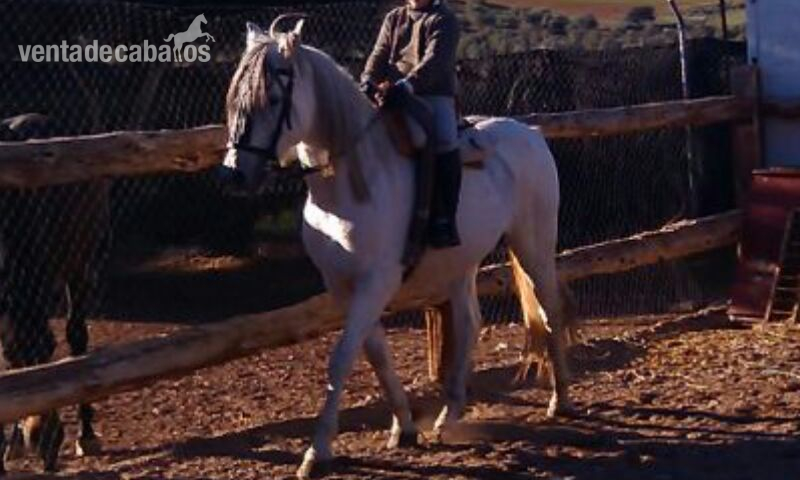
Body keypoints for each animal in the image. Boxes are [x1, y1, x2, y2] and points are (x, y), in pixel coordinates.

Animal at [0, 114, 110, 473]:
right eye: (15, 360)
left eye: (49, 349)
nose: (46, 444)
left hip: (79, 257)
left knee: (77, 337)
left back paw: (86, 435)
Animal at [220, 17, 574, 479]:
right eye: (234, 98)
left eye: (274, 98)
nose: (233, 175)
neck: (353, 182)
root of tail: (529, 133)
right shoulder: (344, 286)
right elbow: (376, 355)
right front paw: (404, 428)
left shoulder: (376, 283)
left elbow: (341, 359)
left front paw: (317, 451)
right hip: (460, 263)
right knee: (469, 322)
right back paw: (448, 415)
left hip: (533, 245)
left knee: (549, 311)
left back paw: (560, 400)